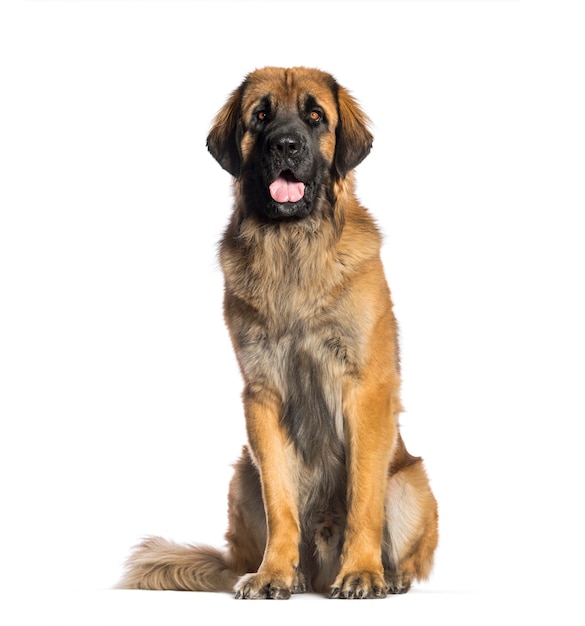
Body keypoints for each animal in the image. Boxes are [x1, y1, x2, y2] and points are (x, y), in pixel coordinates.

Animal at [117, 66, 438, 596]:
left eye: (315, 116)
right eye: (261, 116)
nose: (286, 146)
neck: (292, 250)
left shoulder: (366, 389)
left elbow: (364, 496)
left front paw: (362, 571)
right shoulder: (262, 395)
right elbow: (280, 500)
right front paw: (273, 574)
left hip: (412, 482)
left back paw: (390, 575)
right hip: (240, 477)